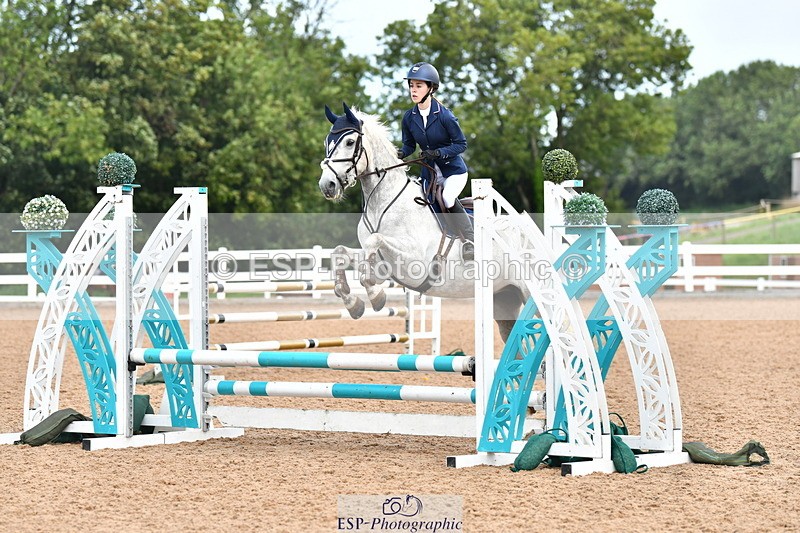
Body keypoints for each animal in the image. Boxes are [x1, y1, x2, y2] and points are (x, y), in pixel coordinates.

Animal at [318, 103, 529, 340]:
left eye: (350, 142)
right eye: (327, 142)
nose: (327, 185)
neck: (381, 203)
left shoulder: (414, 260)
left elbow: (374, 243)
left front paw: (376, 296)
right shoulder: (383, 264)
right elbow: (340, 253)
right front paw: (353, 303)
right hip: (504, 299)